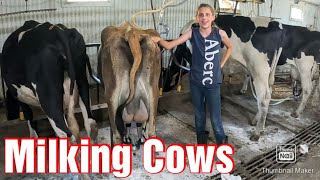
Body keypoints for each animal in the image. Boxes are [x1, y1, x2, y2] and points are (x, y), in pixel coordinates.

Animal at [169, 14, 318, 141]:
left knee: (279, 95)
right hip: (269, 72)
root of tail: (277, 25)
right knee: (268, 94)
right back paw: (259, 123)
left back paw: (260, 131)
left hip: (287, 68)